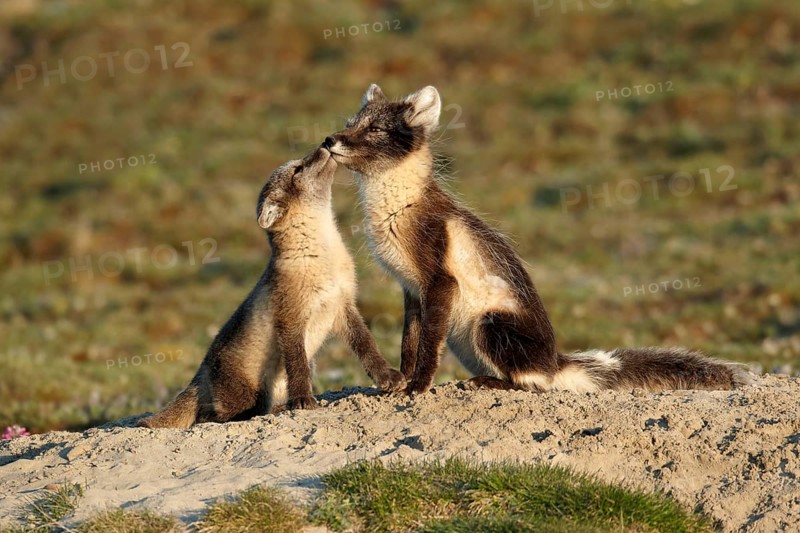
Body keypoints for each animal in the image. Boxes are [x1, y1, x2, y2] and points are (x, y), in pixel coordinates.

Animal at [137, 146, 405, 428]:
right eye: (298, 169)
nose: (324, 144)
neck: (325, 258)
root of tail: (199, 376)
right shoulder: (290, 317)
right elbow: (297, 364)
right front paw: (303, 400)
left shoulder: (343, 304)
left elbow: (366, 346)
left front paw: (389, 377)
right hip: (247, 396)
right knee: (210, 417)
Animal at [323, 83, 751, 395]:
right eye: (350, 122)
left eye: (374, 130)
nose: (329, 139)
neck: (399, 208)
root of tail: (554, 361)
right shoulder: (411, 289)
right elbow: (410, 342)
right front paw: (399, 381)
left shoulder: (440, 281)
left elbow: (428, 346)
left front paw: (419, 387)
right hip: (465, 339)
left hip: (489, 324)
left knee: (530, 384)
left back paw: (487, 382)